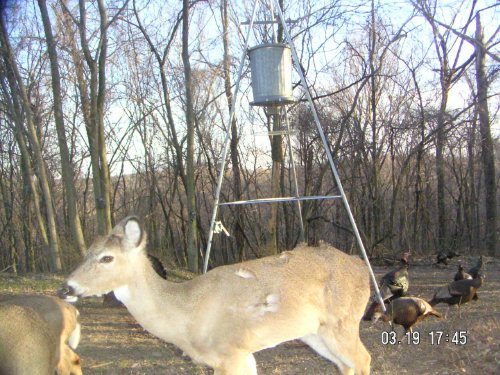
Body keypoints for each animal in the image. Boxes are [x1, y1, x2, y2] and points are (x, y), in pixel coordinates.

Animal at [59, 216, 372, 374]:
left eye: (107, 258)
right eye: (86, 253)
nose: (65, 288)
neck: (186, 313)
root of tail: (361, 268)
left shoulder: (231, 352)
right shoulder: (238, 356)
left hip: (342, 323)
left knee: (363, 359)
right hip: (313, 333)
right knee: (347, 365)